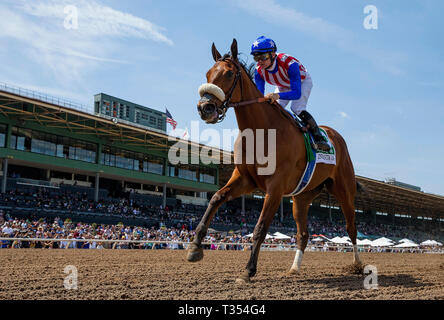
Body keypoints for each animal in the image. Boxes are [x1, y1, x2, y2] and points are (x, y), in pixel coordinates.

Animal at [186, 38, 362, 282]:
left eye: (229, 74)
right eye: (208, 73)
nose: (205, 108)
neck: (261, 131)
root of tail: (335, 136)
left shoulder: (275, 187)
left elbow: (260, 227)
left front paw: (248, 271)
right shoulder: (245, 179)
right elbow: (216, 198)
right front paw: (194, 247)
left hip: (344, 190)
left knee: (351, 226)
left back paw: (358, 265)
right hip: (301, 198)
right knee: (303, 233)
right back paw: (294, 268)